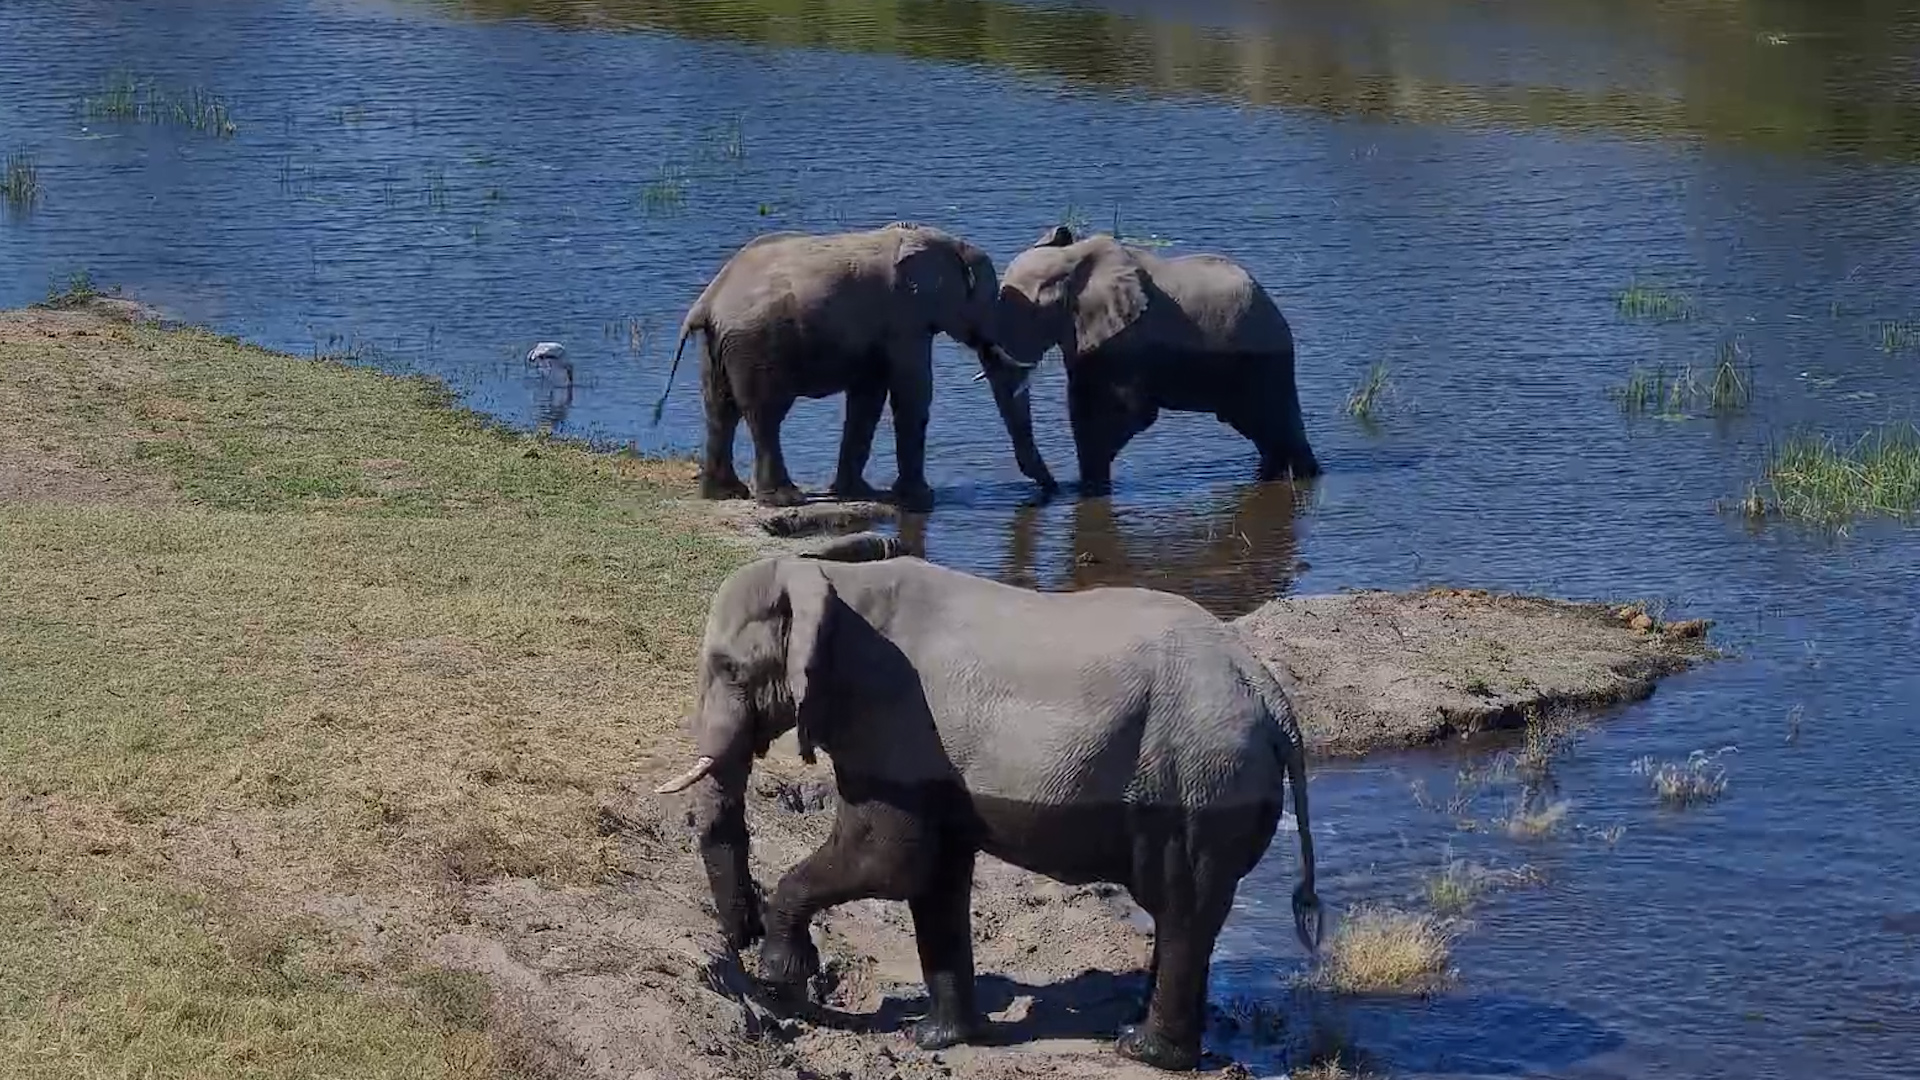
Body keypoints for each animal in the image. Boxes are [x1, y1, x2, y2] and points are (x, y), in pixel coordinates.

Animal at [653, 533, 1324, 1073]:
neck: (831, 578)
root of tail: (1272, 699)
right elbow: (935, 877)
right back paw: (1135, 1028)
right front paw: (935, 1039)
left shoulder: (892, 720)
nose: (740, 939)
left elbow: (890, 860)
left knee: (1181, 908)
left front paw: (783, 975)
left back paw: (1144, 1052)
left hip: (1198, 781)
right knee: (1184, 911)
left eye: (729, 669)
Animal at [654, 223, 1058, 513]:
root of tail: (707, 302)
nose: (1052, 489)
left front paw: (860, 493)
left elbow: (869, 397)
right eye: (989, 301)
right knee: (765, 415)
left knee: (720, 410)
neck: (939, 239)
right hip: (755, 346)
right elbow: (912, 392)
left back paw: (725, 494)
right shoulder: (905, 318)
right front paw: (919, 501)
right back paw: (784, 500)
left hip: (715, 347)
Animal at [992, 225, 1321, 496]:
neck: (1072, 260)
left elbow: (1125, 413)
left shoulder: (1128, 339)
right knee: (1264, 431)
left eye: (1033, 313)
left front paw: (1091, 488)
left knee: (1273, 424)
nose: (1054, 488)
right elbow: (1083, 403)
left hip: (1263, 362)